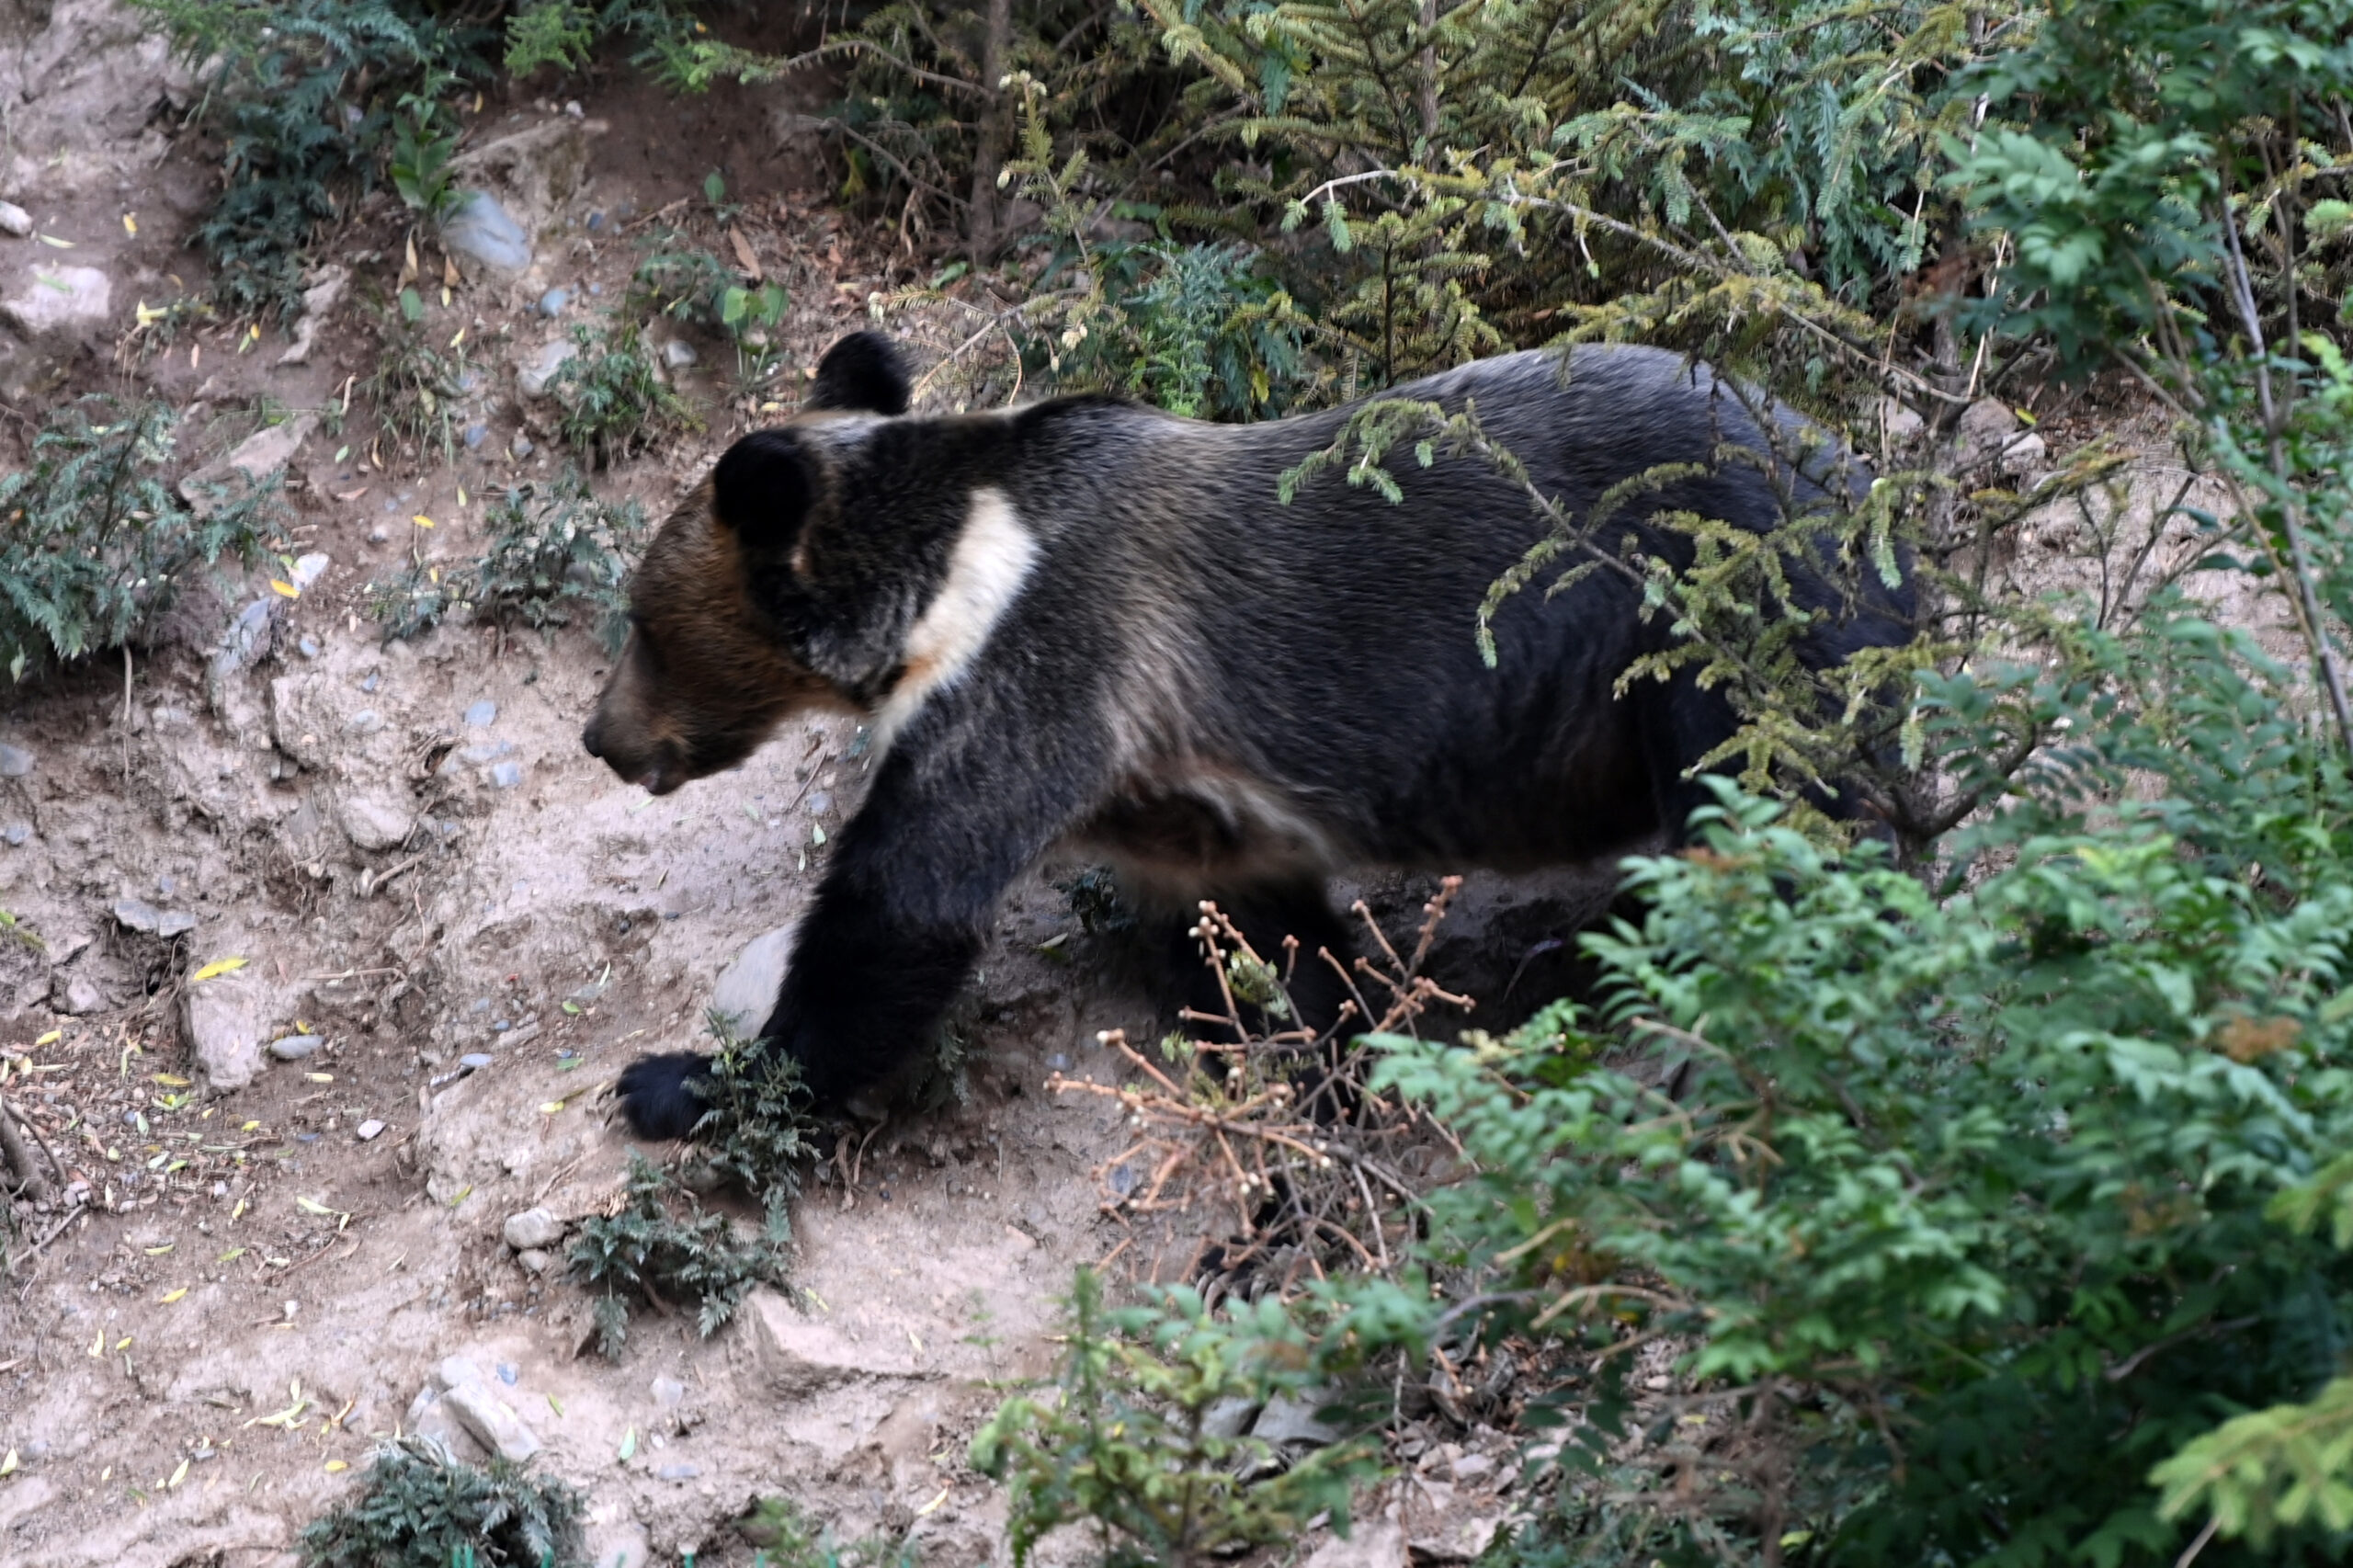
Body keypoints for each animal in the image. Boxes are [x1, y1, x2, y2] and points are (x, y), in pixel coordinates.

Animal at [582, 330, 1912, 1138]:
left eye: (641, 622)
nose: (602, 735)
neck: (949, 575)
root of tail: (1856, 469)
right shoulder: (1175, 793)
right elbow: (1261, 933)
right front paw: (1320, 1047)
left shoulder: (1042, 664)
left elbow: (903, 904)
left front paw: (683, 1077)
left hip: (1717, 601)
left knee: (1774, 803)